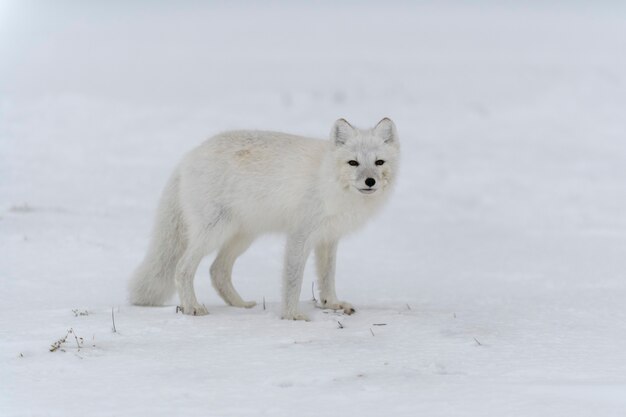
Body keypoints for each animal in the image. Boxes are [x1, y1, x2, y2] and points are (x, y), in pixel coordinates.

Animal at [129, 117, 398, 318]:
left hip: (242, 236)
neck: (329, 179)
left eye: (379, 162)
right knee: (183, 268)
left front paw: (332, 304)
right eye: (353, 163)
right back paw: (192, 308)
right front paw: (292, 316)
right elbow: (293, 280)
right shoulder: (300, 235)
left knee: (217, 271)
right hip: (214, 232)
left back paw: (240, 305)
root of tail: (187, 157)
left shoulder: (328, 238)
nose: (370, 181)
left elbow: (326, 277)